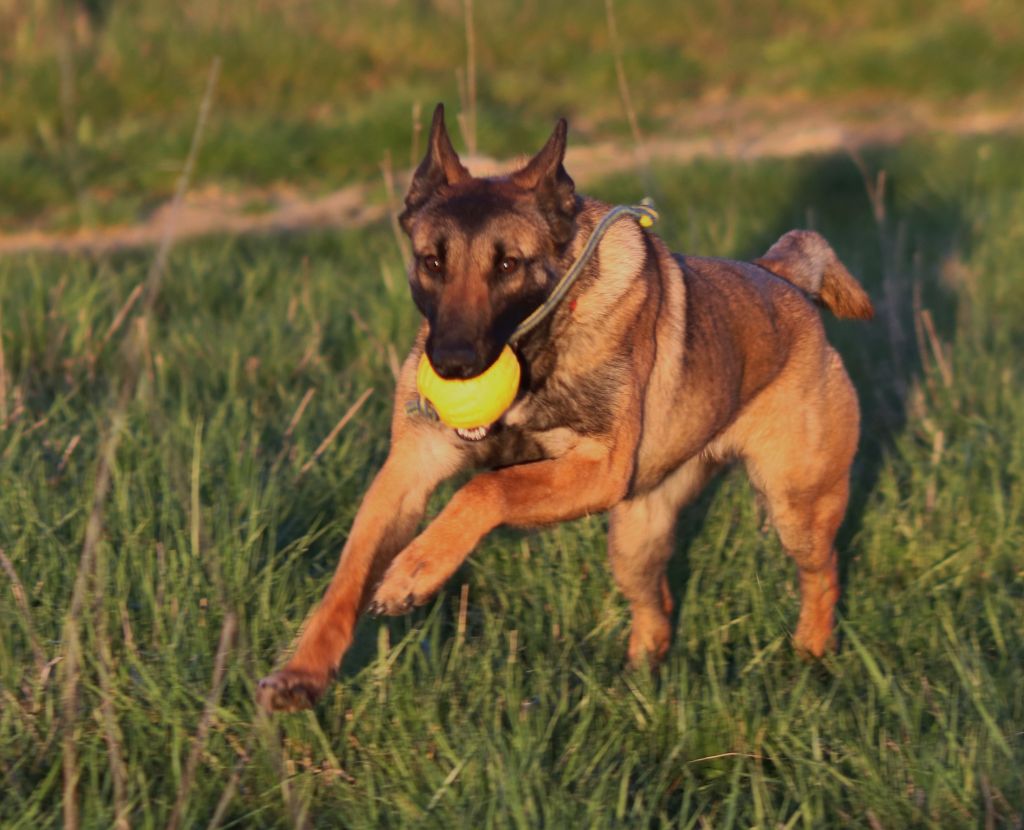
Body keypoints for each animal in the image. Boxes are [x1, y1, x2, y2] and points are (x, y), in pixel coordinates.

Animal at [256, 105, 872, 712]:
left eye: (508, 266)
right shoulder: (408, 472)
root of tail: (785, 282)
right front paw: (302, 673)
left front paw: (415, 570)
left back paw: (811, 654)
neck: (537, 349)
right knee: (658, 606)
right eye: (432, 262)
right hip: (634, 537)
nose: (452, 365)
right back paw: (637, 682)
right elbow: (348, 576)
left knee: (824, 572)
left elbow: (485, 489)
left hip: (796, 507)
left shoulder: (593, 471)